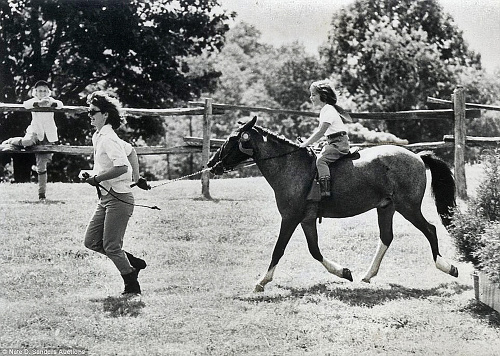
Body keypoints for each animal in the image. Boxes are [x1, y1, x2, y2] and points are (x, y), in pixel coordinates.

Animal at [207, 117, 458, 292]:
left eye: (232, 140)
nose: (211, 164)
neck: (290, 166)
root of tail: (418, 157)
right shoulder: (306, 220)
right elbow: (315, 250)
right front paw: (344, 272)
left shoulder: (290, 218)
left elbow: (278, 249)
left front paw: (262, 281)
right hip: (386, 208)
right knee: (387, 237)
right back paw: (368, 275)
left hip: (408, 207)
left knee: (430, 230)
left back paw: (447, 267)